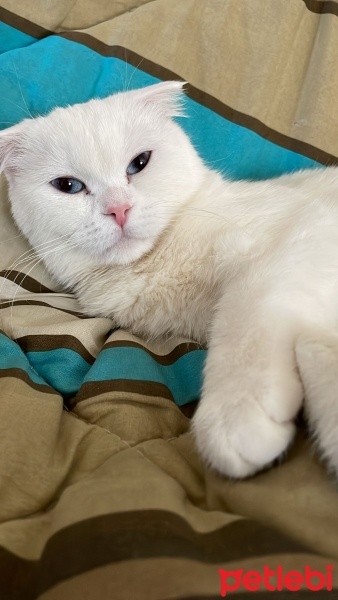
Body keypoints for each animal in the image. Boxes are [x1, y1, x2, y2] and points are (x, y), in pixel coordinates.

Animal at [0, 82, 338, 478]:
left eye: (139, 163)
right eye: (68, 185)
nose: (119, 209)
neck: (157, 261)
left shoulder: (303, 232)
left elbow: (244, 310)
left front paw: (234, 415)